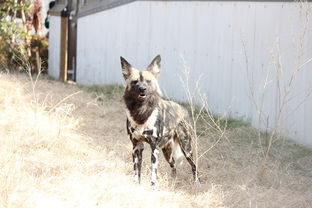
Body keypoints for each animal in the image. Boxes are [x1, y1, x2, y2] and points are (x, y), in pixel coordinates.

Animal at [120, 54, 199, 184]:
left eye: (148, 81)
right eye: (135, 82)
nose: (142, 89)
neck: (141, 113)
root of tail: (184, 109)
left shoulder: (154, 148)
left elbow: (153, 175)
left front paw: (153, 187)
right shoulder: (137, 147)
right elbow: (137, 173)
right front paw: (136, 185)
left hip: (186, 149)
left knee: (194, 166)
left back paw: (197, 183)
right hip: (167, 152)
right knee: (174, 166)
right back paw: (172, 184)